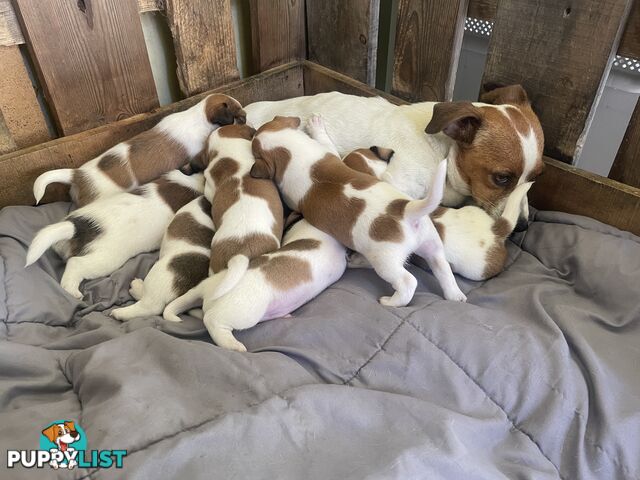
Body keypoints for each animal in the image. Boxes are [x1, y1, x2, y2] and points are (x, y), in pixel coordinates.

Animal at [249, 114, 464, 306]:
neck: (291, 150)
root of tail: (406, 211)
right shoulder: (331, 155)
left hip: (386, 262)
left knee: (408, 281)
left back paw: (391, 301)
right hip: (432, 245)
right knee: (443, 268)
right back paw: (455, 295)